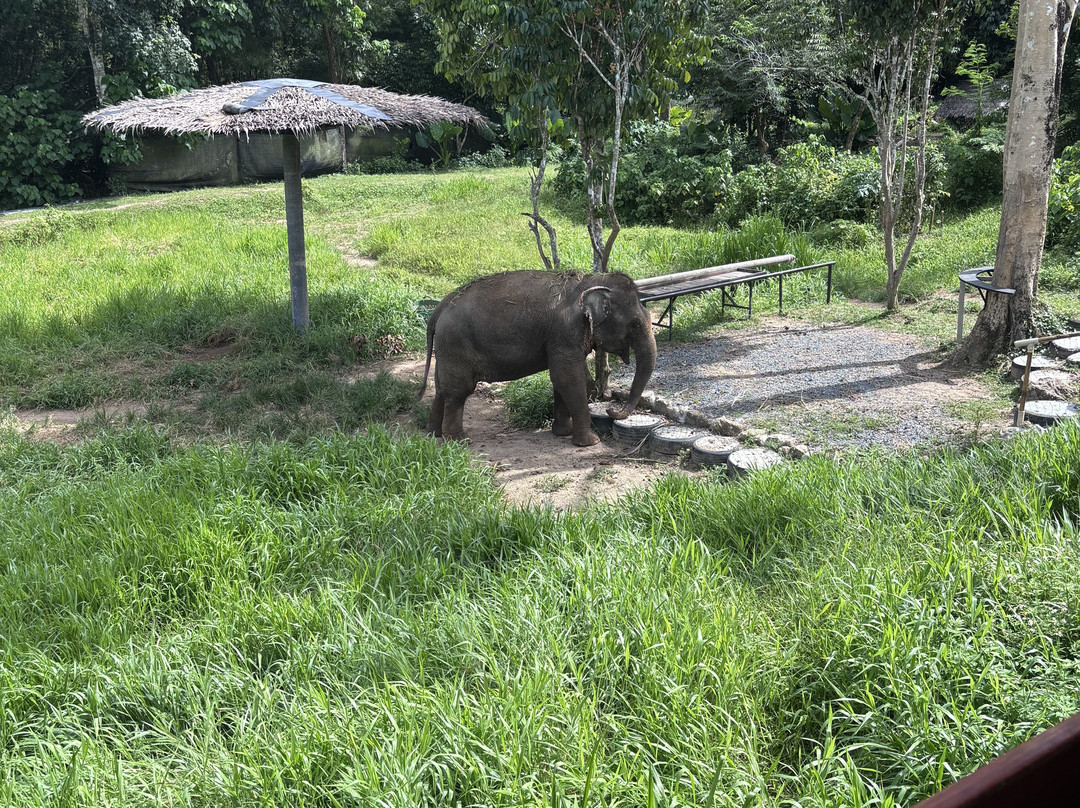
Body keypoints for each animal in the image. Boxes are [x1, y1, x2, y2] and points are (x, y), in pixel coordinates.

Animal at [418, 269, 657, 446]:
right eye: (635, 324)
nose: (610, 410)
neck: (592, 280)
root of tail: (440, 306)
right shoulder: (565, 333)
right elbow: (568, 379)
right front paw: (590, 442)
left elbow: (561, 381)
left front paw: (563, 433)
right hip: (456, 343)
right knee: (458, 391)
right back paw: (459, 440)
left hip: (446, 348)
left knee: (441, 389)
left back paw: (433, 433)